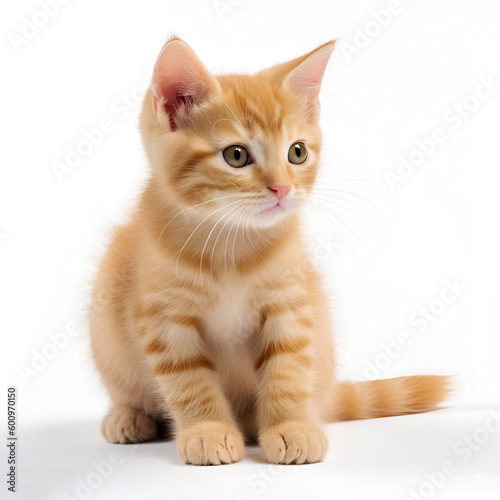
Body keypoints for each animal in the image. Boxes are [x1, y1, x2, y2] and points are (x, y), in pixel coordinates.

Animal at [90, 38, 450, 464]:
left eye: (297, 152)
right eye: (236, 155)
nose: (282, 188)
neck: (230, 242)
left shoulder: (290, 305)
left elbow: (287, 370)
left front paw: (290, 427)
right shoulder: (164, 319)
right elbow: (189, 381)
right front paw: (207, 430)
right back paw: (128, 415)